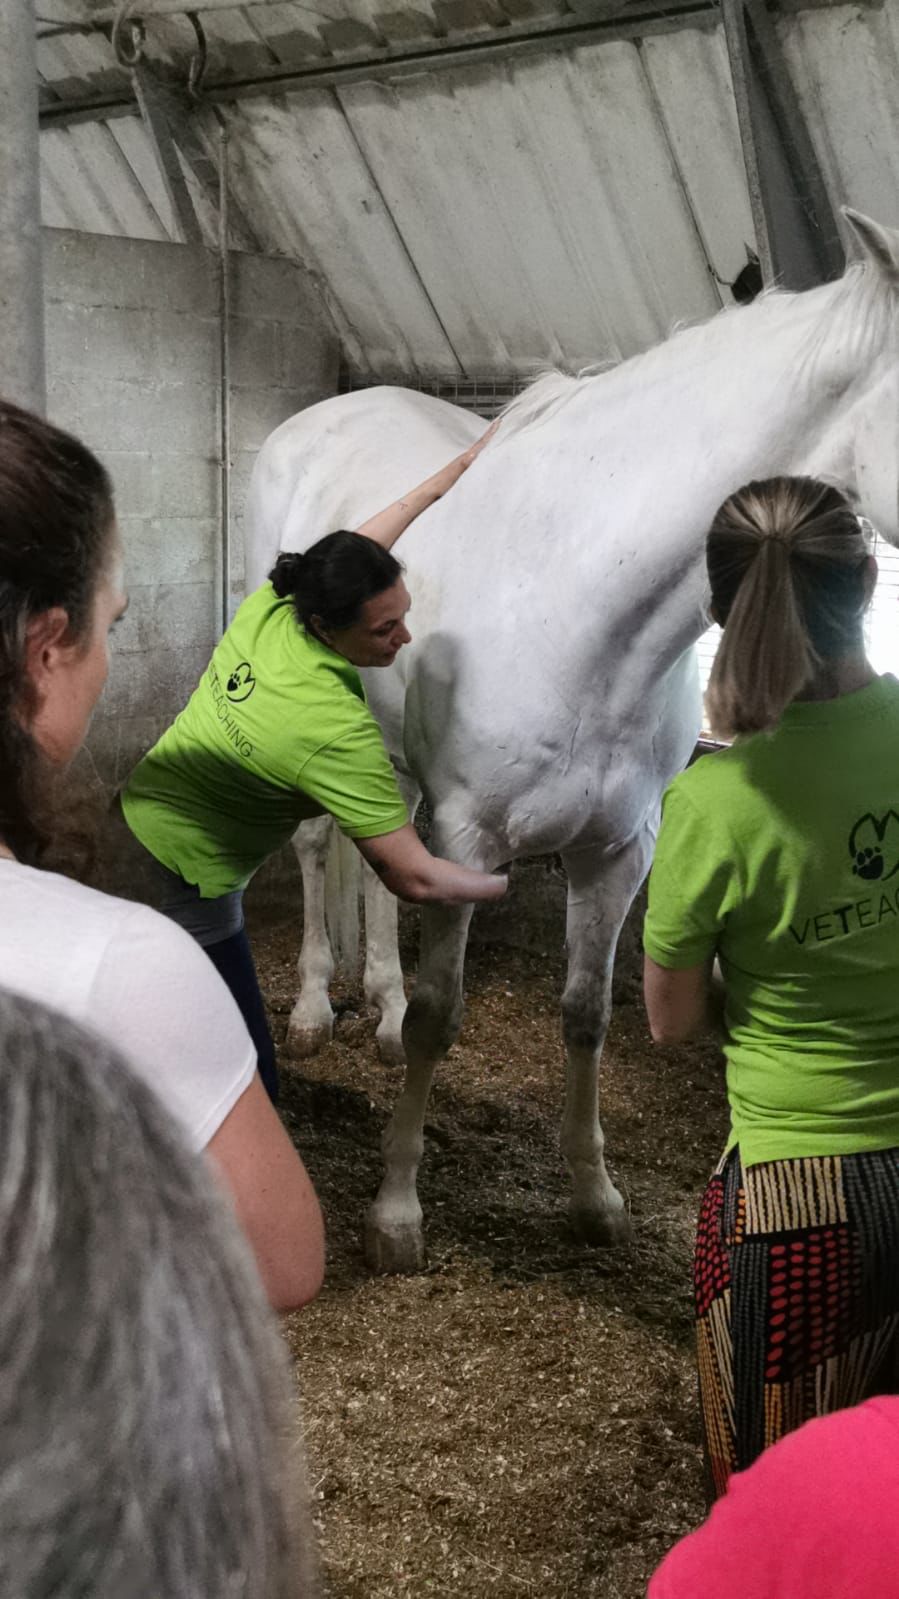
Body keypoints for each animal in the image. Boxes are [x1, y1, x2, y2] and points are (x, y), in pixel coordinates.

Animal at [246, 209, 895, 1272]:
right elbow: (442, 1018)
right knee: (310, 844)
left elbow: (586, 1011)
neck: (579, 602)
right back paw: (308, 1010)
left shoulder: (617, 850)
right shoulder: (469, 840)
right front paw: (396, 1211)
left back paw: (376, 1002)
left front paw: (593, 1196)